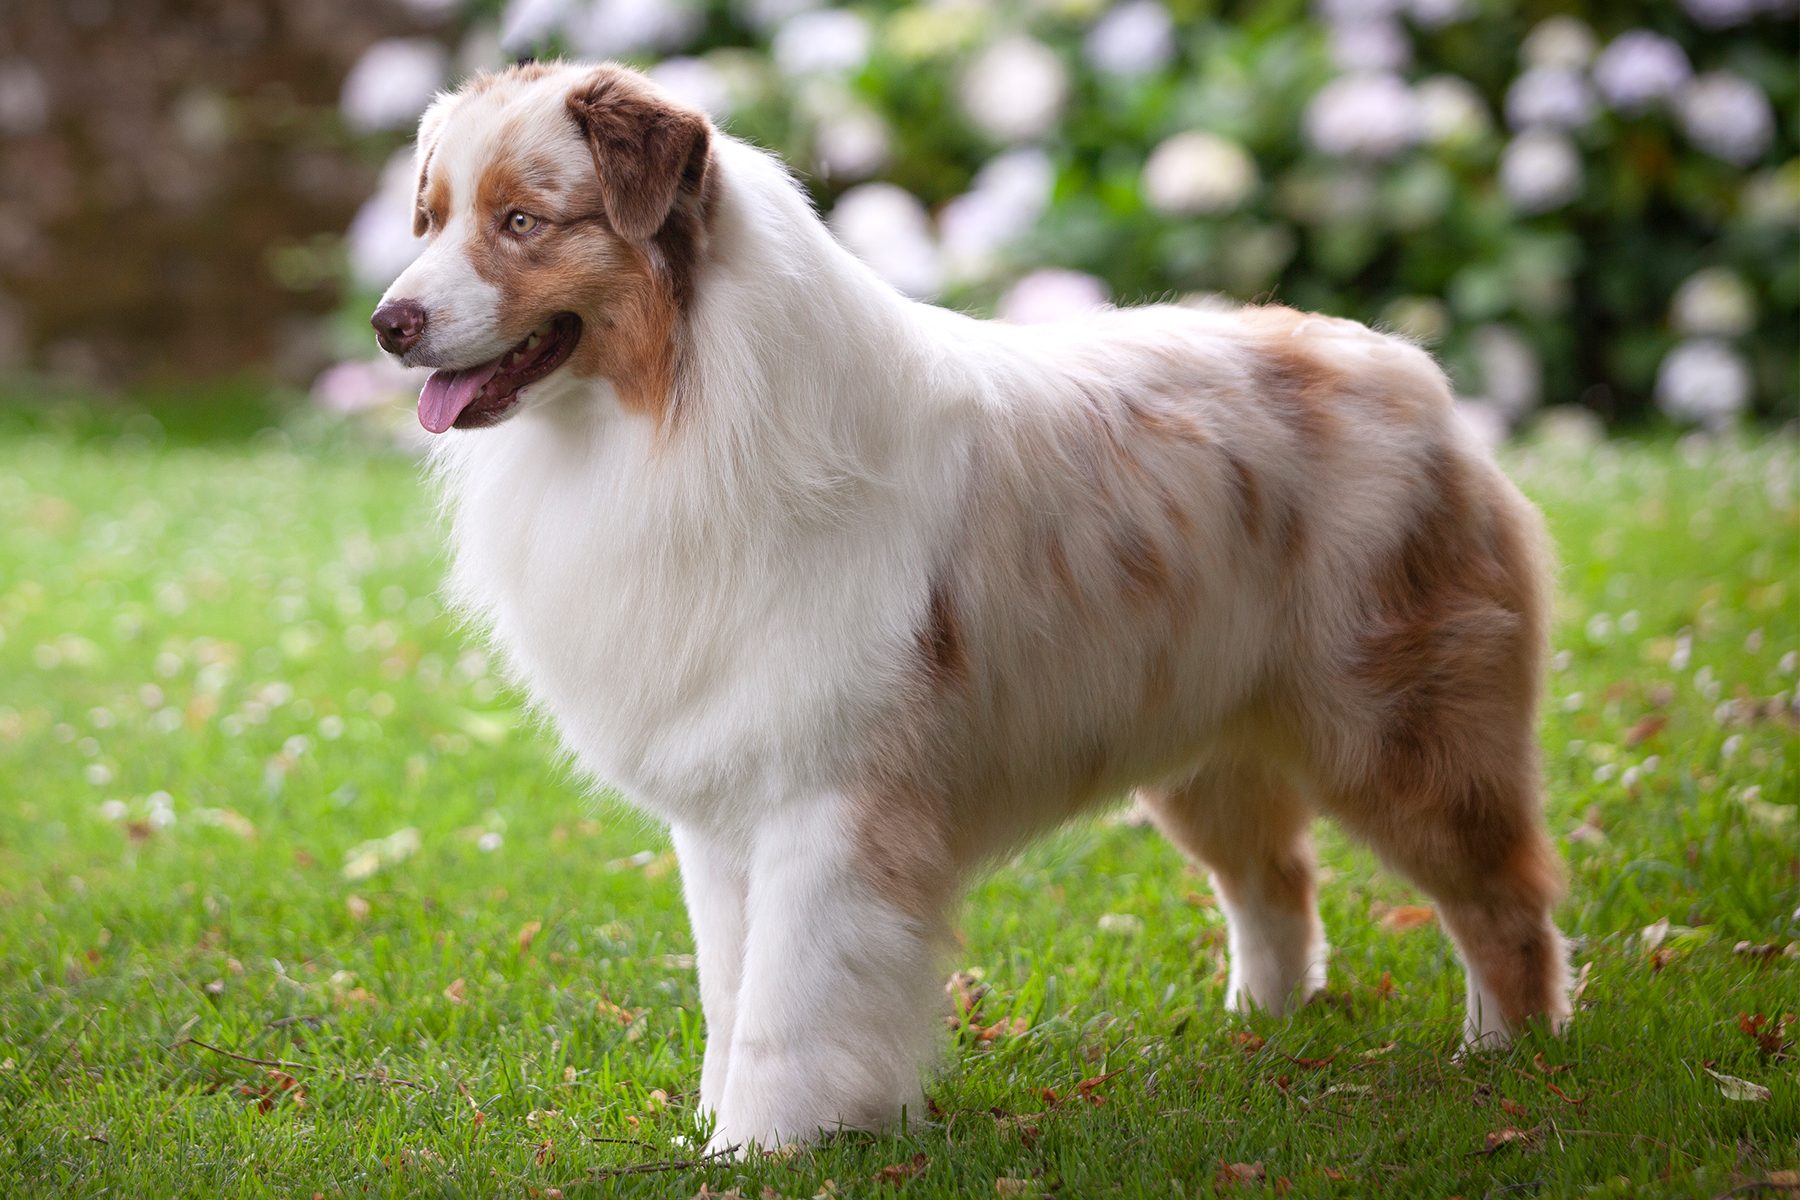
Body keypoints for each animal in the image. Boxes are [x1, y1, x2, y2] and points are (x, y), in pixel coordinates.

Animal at [372, 61, 1569, 1151]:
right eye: (428, 220)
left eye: (522, 221)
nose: (389, 322)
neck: (672, 412)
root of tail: (1415, 374)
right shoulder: (721, 804)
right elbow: (728, 985)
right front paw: (721, 1127)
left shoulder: (826, 799)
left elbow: (784, 1007)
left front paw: (757, 1148)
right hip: (1206, 742)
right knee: (1276, 879)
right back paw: (1261, 1034)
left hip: (1399, 728)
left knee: (1501, 894)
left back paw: (1506, 1057)